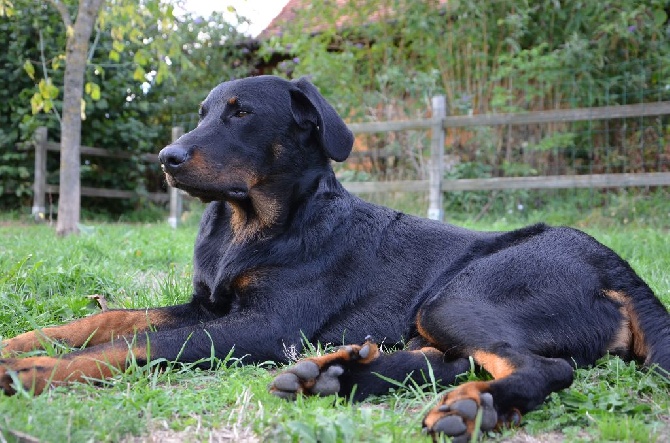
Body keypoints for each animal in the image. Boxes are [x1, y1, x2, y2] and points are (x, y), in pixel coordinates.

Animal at [1, 75, 670, 440]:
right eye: (205, 113)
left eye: (241, 112)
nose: (167, 158)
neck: (249, 225)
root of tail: (618, 268)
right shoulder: (208, 304)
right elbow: (109, 319)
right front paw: (22, 342)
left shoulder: (263, 325)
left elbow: (139, 345)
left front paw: (34, 372)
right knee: (446, 361)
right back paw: (332, 375)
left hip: (460, 292)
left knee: (545, 368)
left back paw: (467, 409)